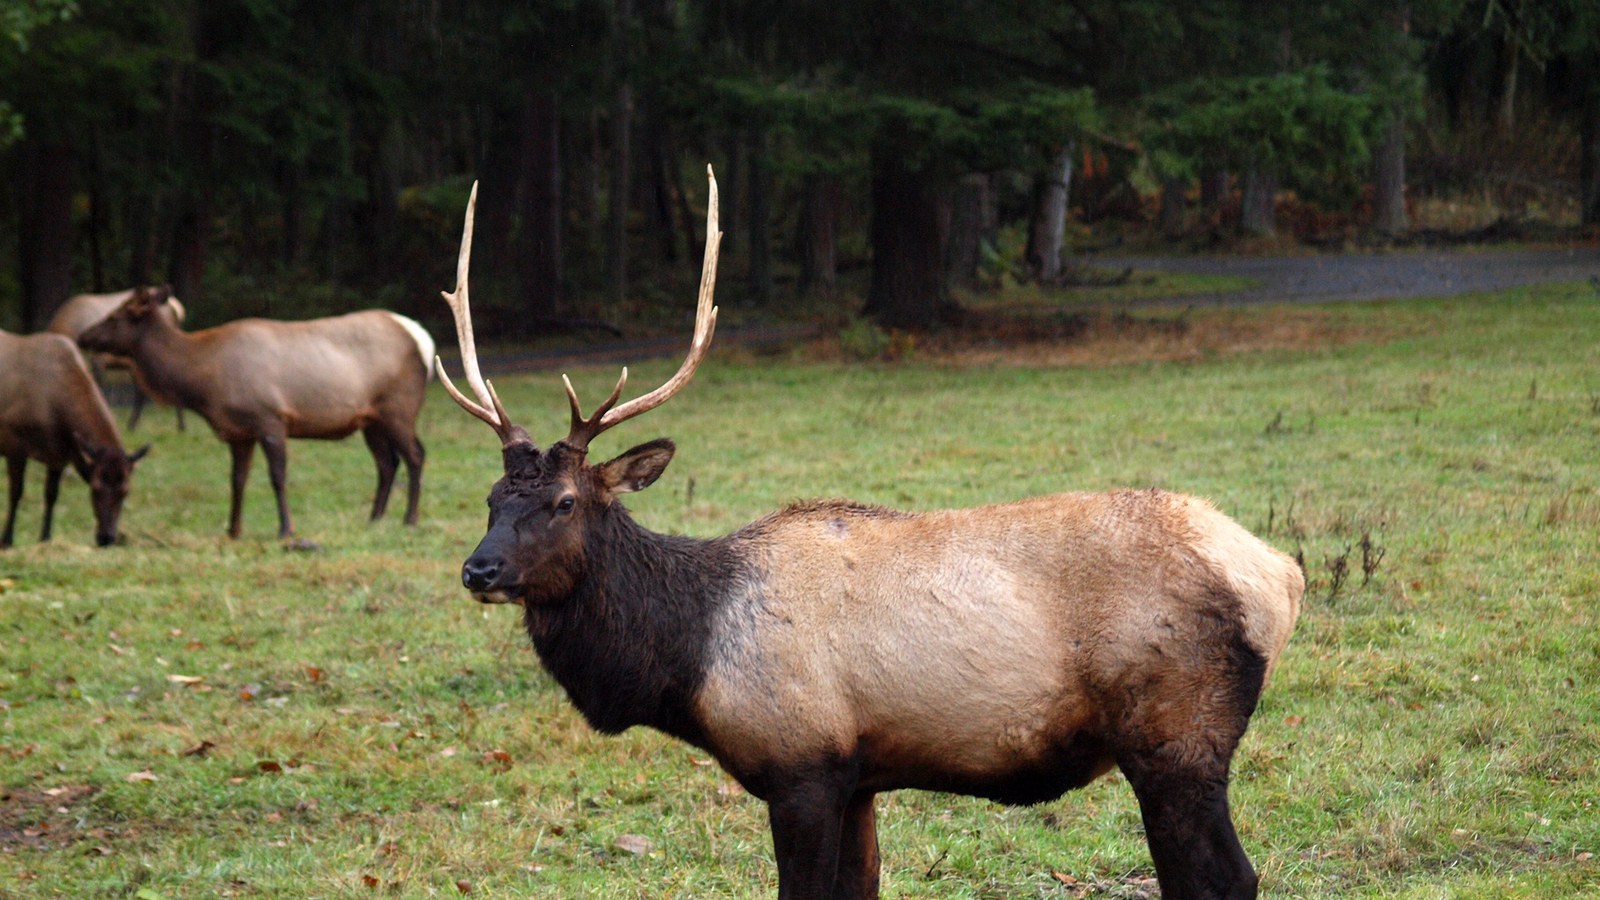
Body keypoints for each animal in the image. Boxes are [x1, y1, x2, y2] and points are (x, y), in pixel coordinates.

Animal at [1, 329, 150, 548]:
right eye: (95, 488)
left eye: (126, 491)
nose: (107, 538)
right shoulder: (14, 442)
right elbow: (16, 492)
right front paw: (7, 540)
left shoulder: (58, 456)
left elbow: (51, 494)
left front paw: (46, 537)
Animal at [76, 286, 435, 539]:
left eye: (115, 315)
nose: (83, 336)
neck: (204, 381)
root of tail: (423, 339)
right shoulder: (239, 432)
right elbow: (237, 480)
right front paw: (233, 530)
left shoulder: (270, 418)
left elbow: (277, 477)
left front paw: (285, 529)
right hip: (371, 418)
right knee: (387, 462)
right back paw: (374, 518)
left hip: (399, 406)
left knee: (416, 454)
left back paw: (410, 518)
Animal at [436, 168, 1303, 900]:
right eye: (490, 499)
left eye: (563, 503)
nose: (479, 571)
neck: (687, 659)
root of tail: (1282, 576)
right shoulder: (858, 779)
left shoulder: (803, 764)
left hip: (1177, 737)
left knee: (1227, 879)